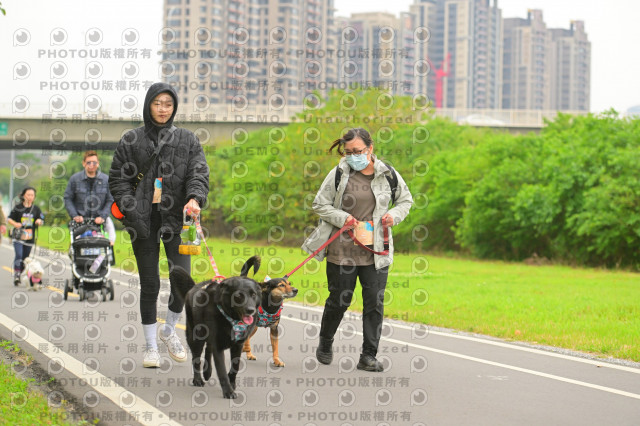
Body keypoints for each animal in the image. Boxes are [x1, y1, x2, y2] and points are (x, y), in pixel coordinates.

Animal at [170, 256, 261, 399]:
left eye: (253, 295)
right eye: (238, 295)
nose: (251, 310)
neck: (231, 318)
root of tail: (193, 287)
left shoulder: (238, 345)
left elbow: (235, 366)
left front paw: (232, 383)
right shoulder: (218, 347)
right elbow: (222, 371)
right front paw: (228, 391)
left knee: (208, 348)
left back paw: (207, 372)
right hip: (195, 337)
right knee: (196, 358)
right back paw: (198, 379)